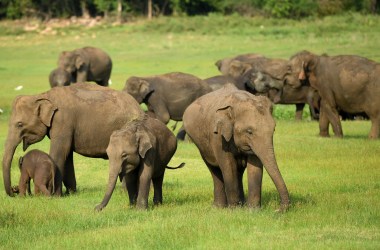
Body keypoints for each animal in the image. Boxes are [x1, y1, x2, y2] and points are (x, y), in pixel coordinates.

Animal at [2, 83, 144, 196]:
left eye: (19, 124)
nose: (14, 190)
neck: (43, 95)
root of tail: (139, 108)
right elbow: (67, 155)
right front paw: (70, 193)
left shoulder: (63, 121)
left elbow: (59, 153)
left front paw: (56, 196)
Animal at [183, 83, 290, 211]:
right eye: (249, 131)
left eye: (273, 129)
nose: (277, 210)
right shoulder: (218, 137)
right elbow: (228, 165)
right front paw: (234, 210)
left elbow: (255, 166)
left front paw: (252, 210)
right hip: (201, 145)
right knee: (214, 169)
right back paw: (219, 207)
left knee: (238, 171)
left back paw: (241, 204)